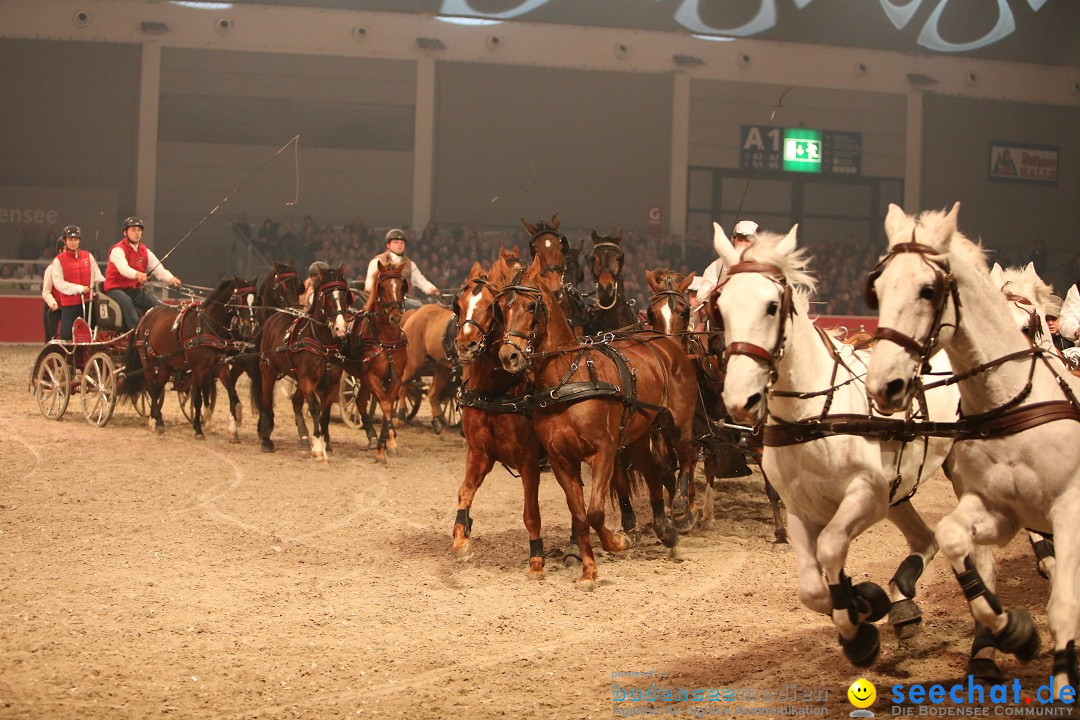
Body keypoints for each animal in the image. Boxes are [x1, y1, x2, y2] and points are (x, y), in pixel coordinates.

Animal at [121, 278, 244, 440]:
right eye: (242, 298)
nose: (250, 324)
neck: (206, 326)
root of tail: (145, 317)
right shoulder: (198, 369)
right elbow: (198, 398)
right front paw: (198, 429)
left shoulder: (218, 365)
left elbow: (230, 393)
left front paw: (232, 426)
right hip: (147, 361)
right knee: (150, 387)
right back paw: (157, 422)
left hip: (164, 366)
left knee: (156, 388)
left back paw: (155, 420)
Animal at [254, 266, 347, 462]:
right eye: (326, 295)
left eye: (344, 294)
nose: (341, 328)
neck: (323, 343)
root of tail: (274, 317)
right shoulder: (307, 380)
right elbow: (315, 408)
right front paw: (318, 447)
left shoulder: (332, 383)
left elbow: (325, 413)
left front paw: (326, 443)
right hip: (268, 370)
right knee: (266, 401)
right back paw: (266, 438)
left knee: (296, 401)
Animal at [343, 262, 406, 464]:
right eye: (382, 287)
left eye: (401, 286)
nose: (395, 317)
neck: (387, 341)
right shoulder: (372, 376)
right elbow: (385, 405)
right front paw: (384, 447)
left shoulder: (395, 377)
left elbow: (388, 404)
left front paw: (387, 443)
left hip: (362, 378)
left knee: (361, 401)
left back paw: (372, 436)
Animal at [496, 255, 699, 587]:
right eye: (500, 308)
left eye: (530, 306)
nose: (508, 356)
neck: (567, 378)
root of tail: (666, 343)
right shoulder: (562, 461)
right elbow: (580, 516)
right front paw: (589, 570)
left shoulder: (603, 452)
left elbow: (594, 513)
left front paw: (618, 542)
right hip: (639, 434)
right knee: (654, 471)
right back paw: (665, 528)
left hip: (678, 422)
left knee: (686, 456)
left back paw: (684, 509)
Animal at [712, 222, 959, 669]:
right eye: (719, 308)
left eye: (772, 306)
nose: (742, 400)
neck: (809, 419)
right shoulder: (800, 507)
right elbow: (812, 588)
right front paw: (862, 610)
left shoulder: (867, 496)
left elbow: (830, 547)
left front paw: (860, 622)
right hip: (899, 493)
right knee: (924, 541)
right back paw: (903, 607)